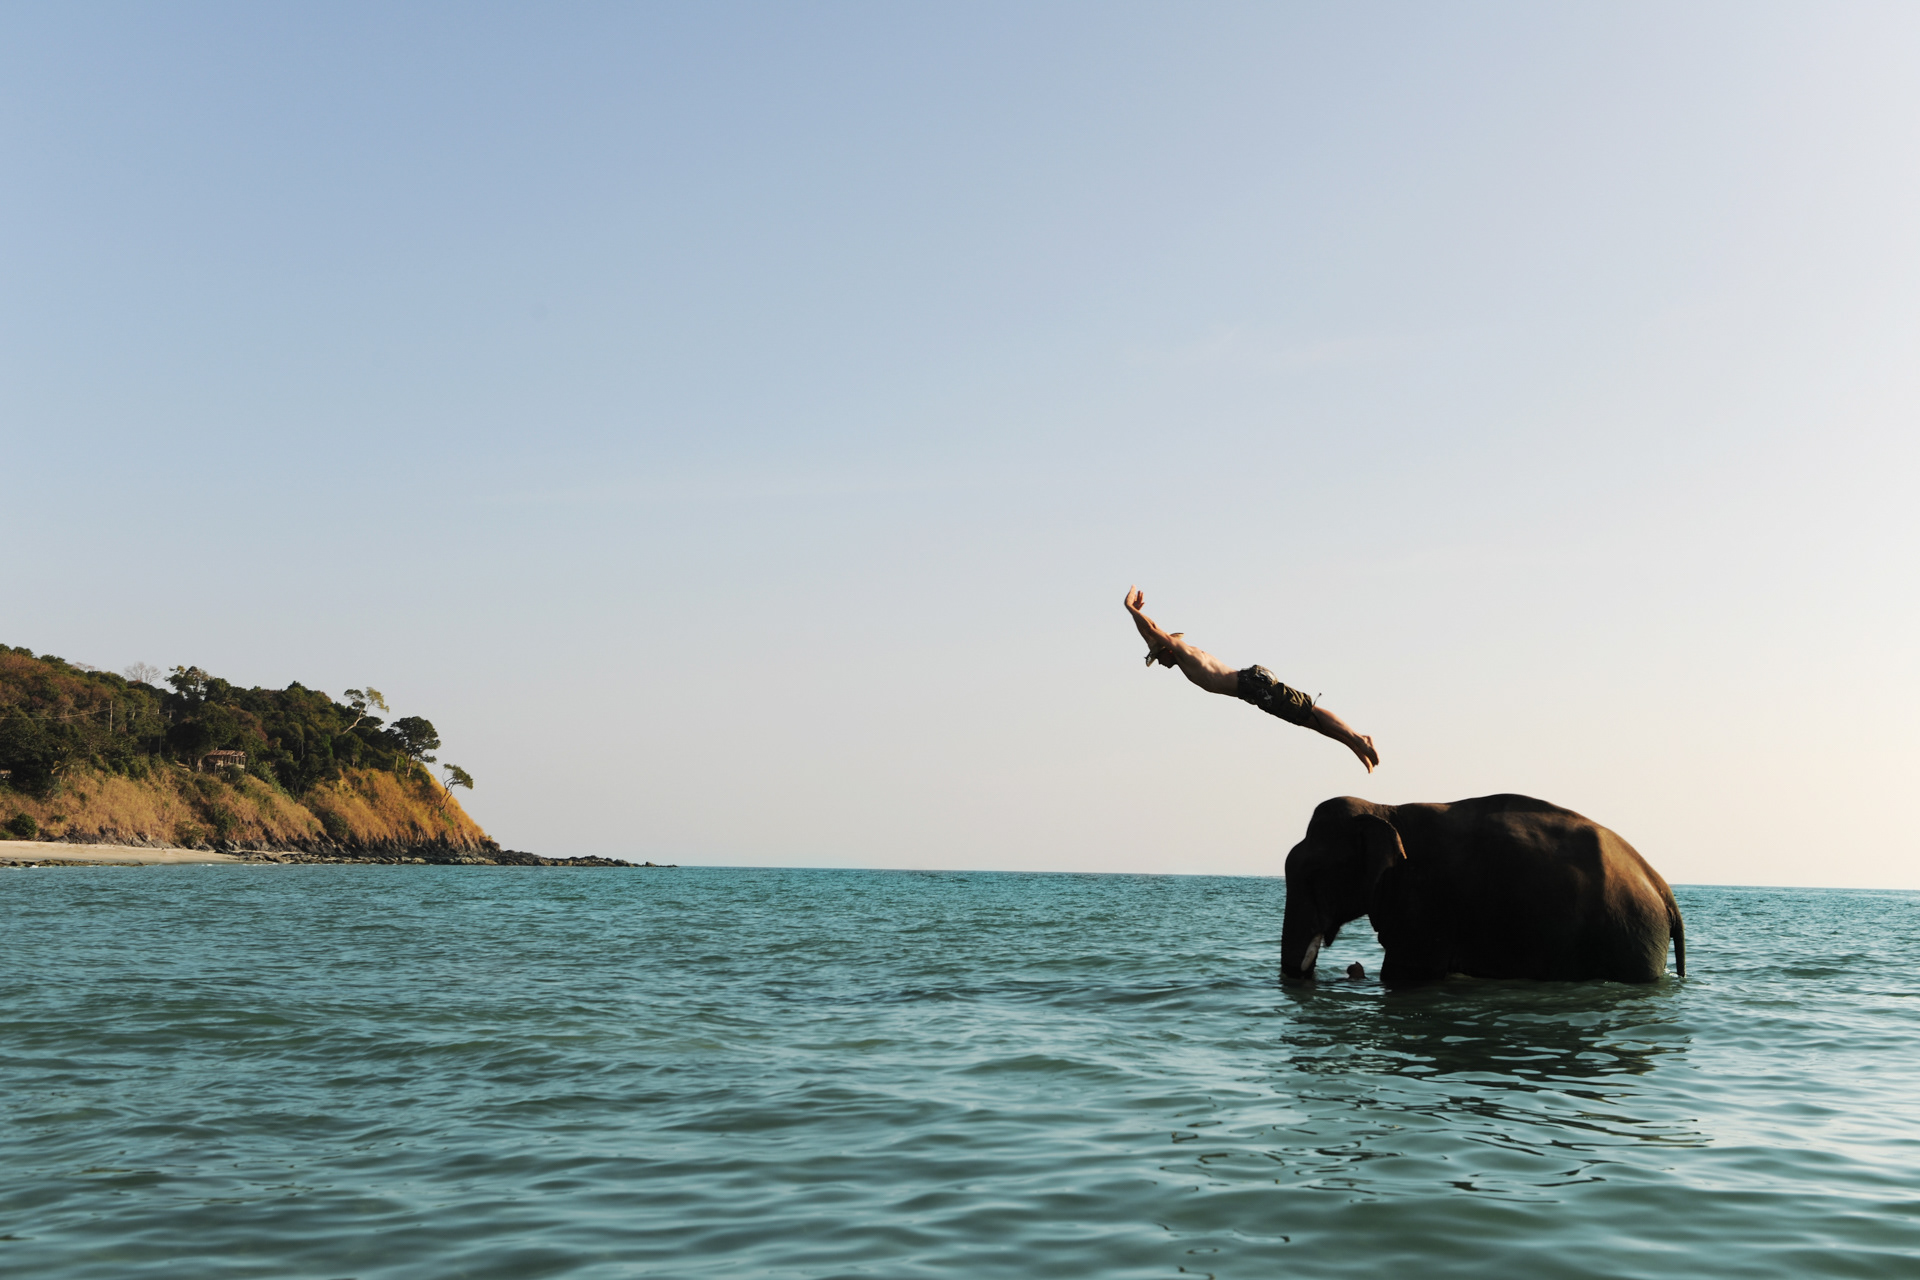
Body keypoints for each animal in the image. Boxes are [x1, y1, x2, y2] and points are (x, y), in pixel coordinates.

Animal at [1280, 793, 1684, 985]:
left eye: (1313, 873)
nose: (1349, 967)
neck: (1383, 807)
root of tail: (1662, 887)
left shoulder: (1426, 901)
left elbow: (1405, 971)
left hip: (1630, 934)